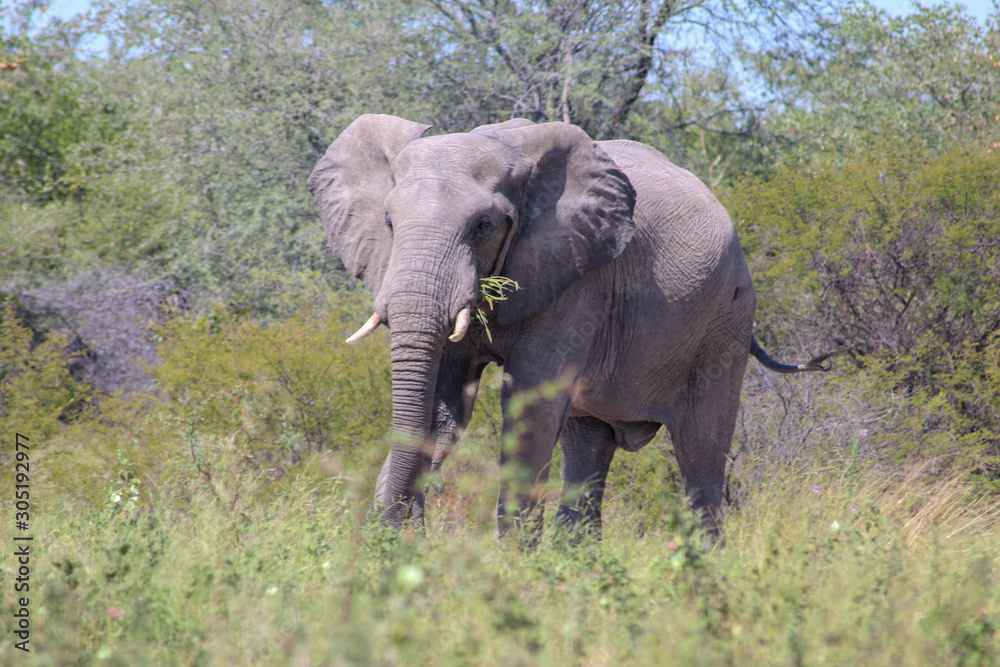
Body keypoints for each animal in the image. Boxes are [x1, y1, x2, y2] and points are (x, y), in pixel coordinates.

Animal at [306, 115, 828, 544]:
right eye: (390, 222)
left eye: (484, 226)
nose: (395, 535)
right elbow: (441, 405)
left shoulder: (576, 277)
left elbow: (529, 406)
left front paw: (515, 566)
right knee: (588, 444)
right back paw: (576, 562)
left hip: (726, 322)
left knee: (700, 450)